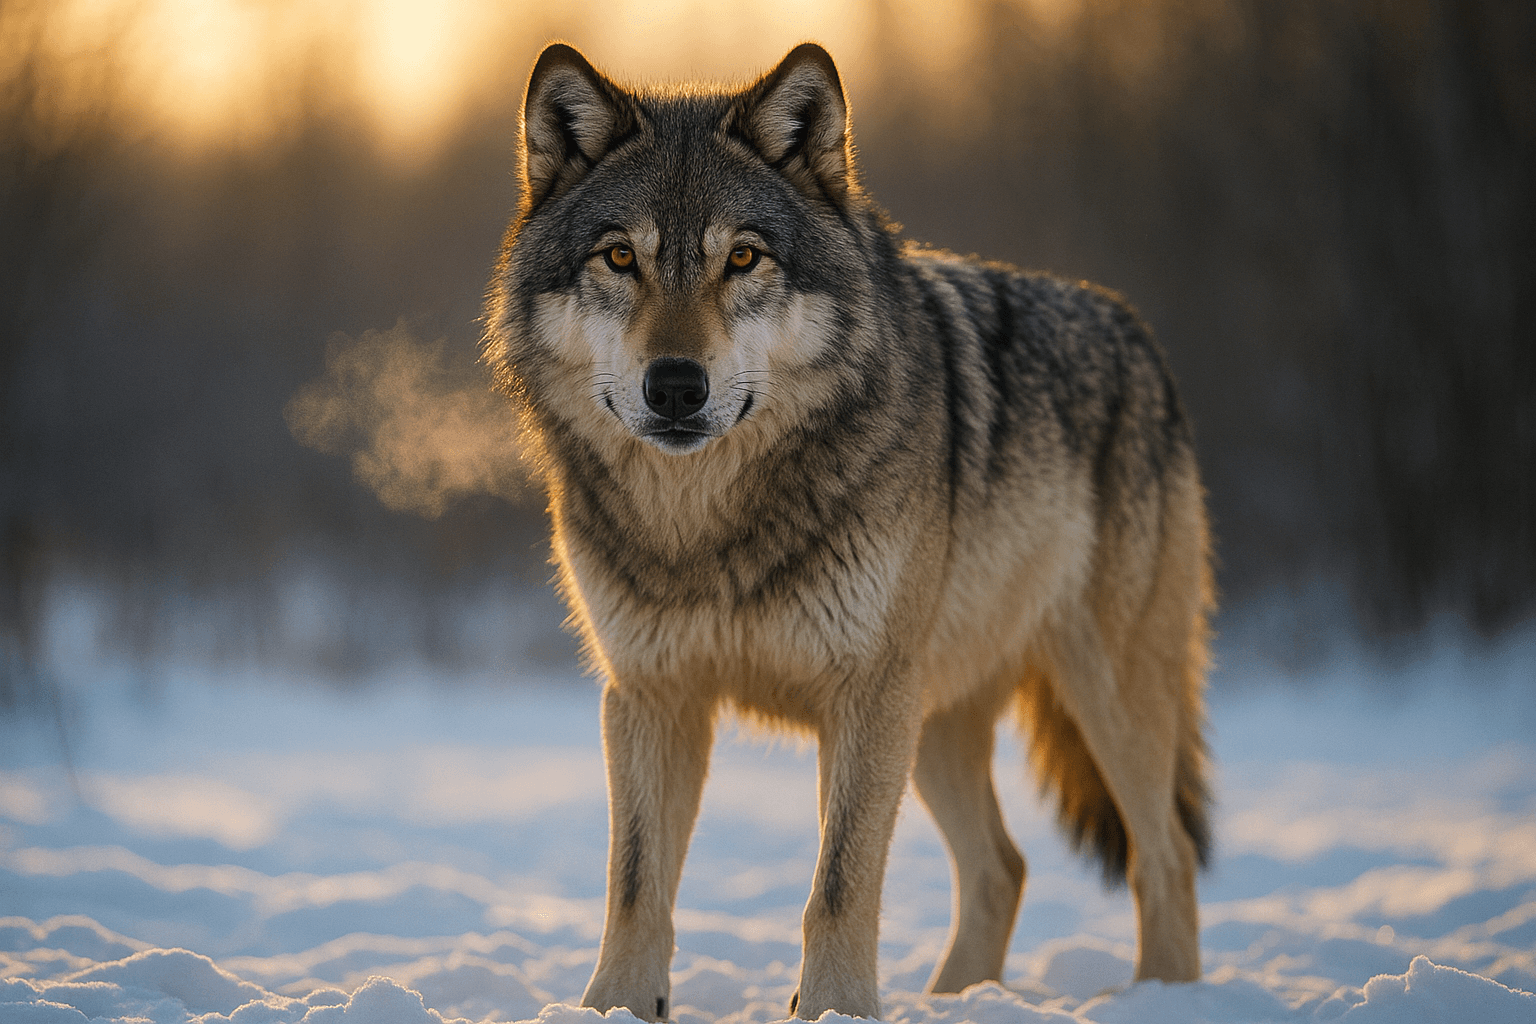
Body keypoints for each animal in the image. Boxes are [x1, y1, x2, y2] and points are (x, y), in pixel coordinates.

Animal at [483, 41, 1214, 1021]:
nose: (674, 385)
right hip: (936, 718)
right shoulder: (652, 695)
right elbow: (636, 884)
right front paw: (611, 1008)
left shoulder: (863, 696)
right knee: (1004, 867)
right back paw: (957, 997)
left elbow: (838, 885)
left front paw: (833, 1007)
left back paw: (1166, 996)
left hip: (1097, 699)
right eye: (620, 257)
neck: (708, 531)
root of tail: (1141, 338)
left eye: (743, 257)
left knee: (1163, 858)